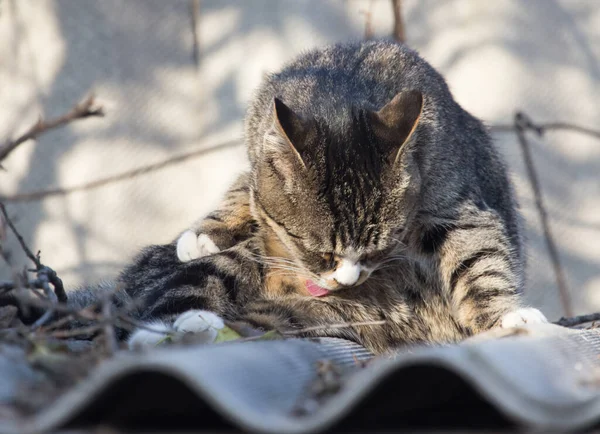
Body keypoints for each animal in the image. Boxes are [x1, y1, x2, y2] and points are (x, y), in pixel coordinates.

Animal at [82, 39, 548, 354]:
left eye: (379, 248)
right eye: (317, 250)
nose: (346, 280)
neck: (346, 95)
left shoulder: (455, 201)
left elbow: (478, 259)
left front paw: (504, 315)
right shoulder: (256, 158)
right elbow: (243, 190)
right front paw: (207, 231)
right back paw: (179, 328)